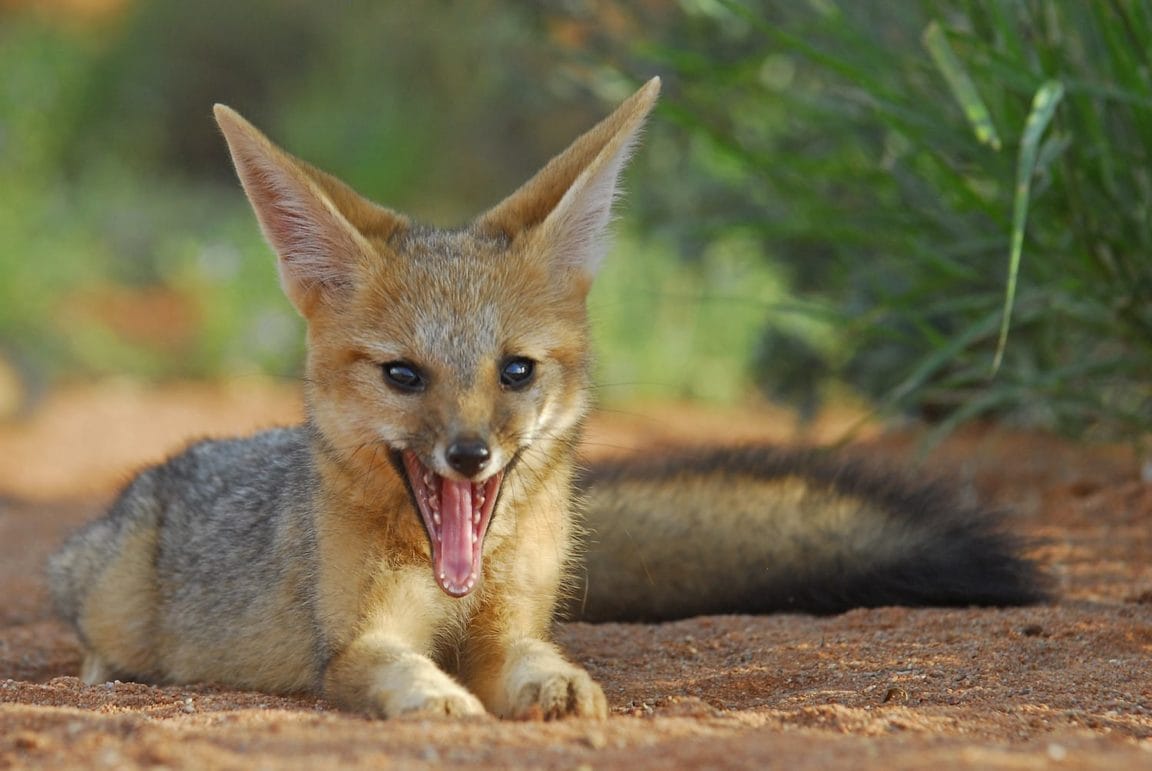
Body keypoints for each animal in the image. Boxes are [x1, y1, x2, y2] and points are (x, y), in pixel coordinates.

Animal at [47, 74, 1046, 719]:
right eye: (403, 374)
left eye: (516, 371)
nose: (469, 454)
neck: (452, 582)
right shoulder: (357, 640)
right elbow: (400, 672)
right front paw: (440, 700)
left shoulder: (505, 628)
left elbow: (537, 654)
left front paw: (559, 687)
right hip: (107, 595)